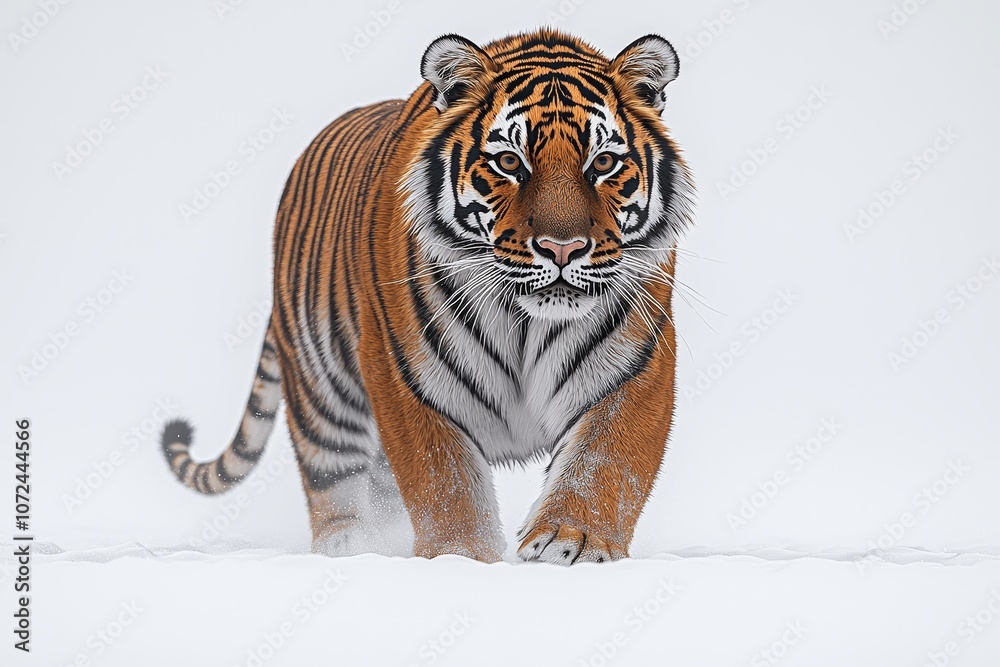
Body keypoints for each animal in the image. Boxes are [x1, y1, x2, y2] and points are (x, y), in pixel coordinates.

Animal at [161, 28, 695, 565]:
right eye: (509, 162)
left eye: (603, 162)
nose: (562, 248)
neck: (525, 320)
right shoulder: (405, 373)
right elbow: (443, 480)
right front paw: (459, 556)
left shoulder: (636, 363)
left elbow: (603, 463)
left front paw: (572, 543)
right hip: (322, 394)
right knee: (333, 481)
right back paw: (349, 547)